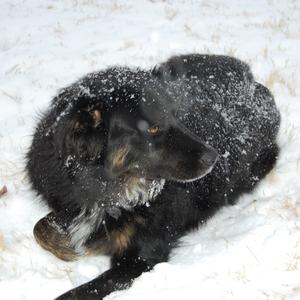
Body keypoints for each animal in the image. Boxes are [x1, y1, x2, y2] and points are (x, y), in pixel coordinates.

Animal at [26, 54, 282, 300]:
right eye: (152, 128)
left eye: (175, 115)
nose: (214, 157)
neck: (106, 186)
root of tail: (252, 80)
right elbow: (40, 228)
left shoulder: (141, 258)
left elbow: (77, 291)